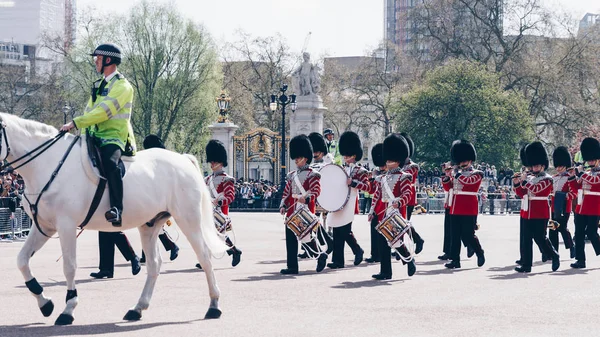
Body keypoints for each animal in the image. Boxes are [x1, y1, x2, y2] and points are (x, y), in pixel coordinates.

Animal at [0, 112, 227, 322]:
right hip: (150, 225)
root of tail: (182, 159)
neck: (49, 164)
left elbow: (69, 267)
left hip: (188, 220)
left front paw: (68, 309)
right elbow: (22, 261)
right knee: (154, 264)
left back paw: (214, 305)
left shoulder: (66, 226)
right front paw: (45, 303)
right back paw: (138, 308)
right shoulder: (45, 227)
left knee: (204, 257)